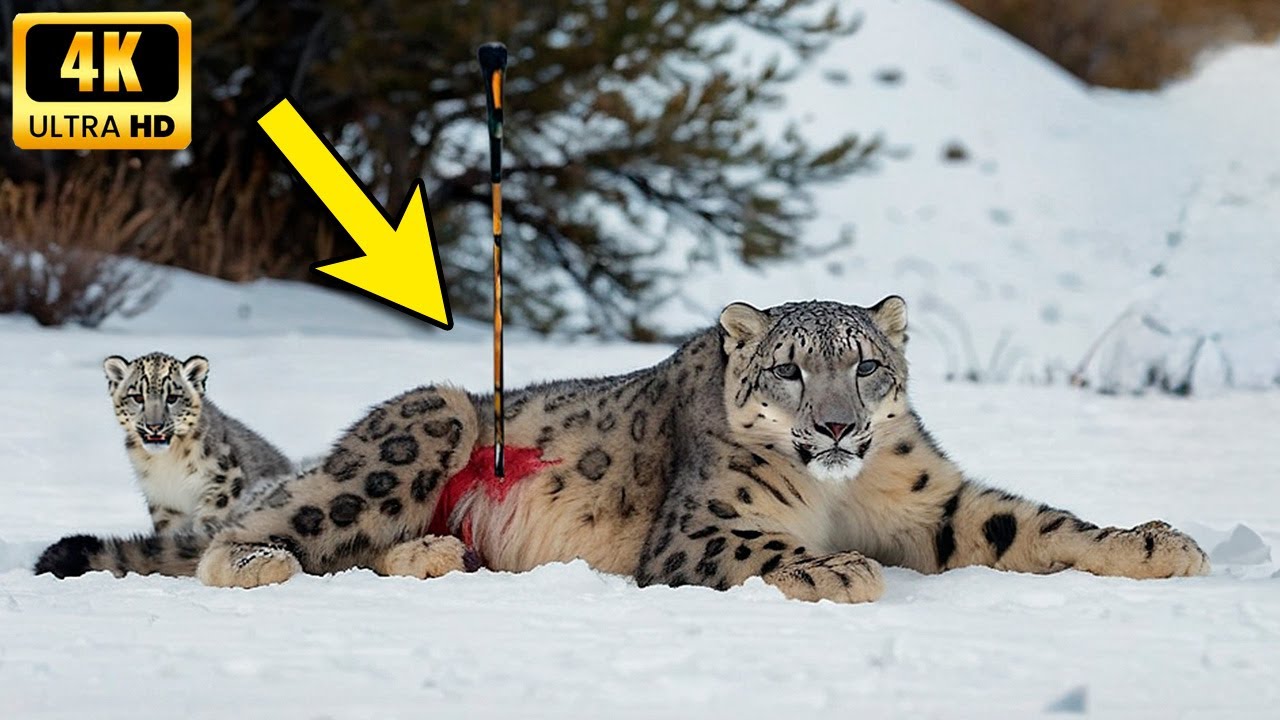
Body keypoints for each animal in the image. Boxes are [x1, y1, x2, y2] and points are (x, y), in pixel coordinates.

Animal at [34, 352, 293, 578]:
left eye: (172, 397)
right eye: (137, 396)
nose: (154, 426)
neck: (169, 464)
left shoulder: (223, 483)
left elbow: (209, 523)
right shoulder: (165, 502)